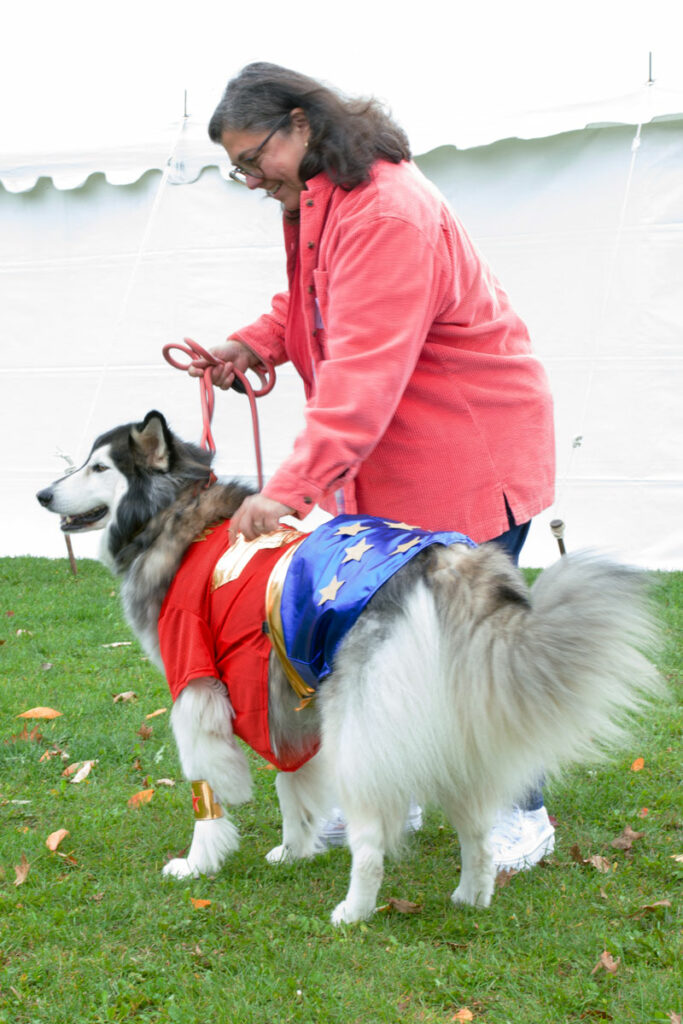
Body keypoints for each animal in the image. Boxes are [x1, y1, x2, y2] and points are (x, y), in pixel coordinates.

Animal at [38, 411, 663, 925]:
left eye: (98, 466)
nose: (42, 493)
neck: (177, 514)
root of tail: (446, 567)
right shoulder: (281, 692)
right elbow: (289, 780)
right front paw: (293, 851)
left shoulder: (198, 687)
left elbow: (208, 793)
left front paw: (199, 864)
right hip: (452, 727)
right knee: (477, 829)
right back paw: (470, 896)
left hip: (362, 731)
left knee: (372, 843)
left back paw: (353, 911)